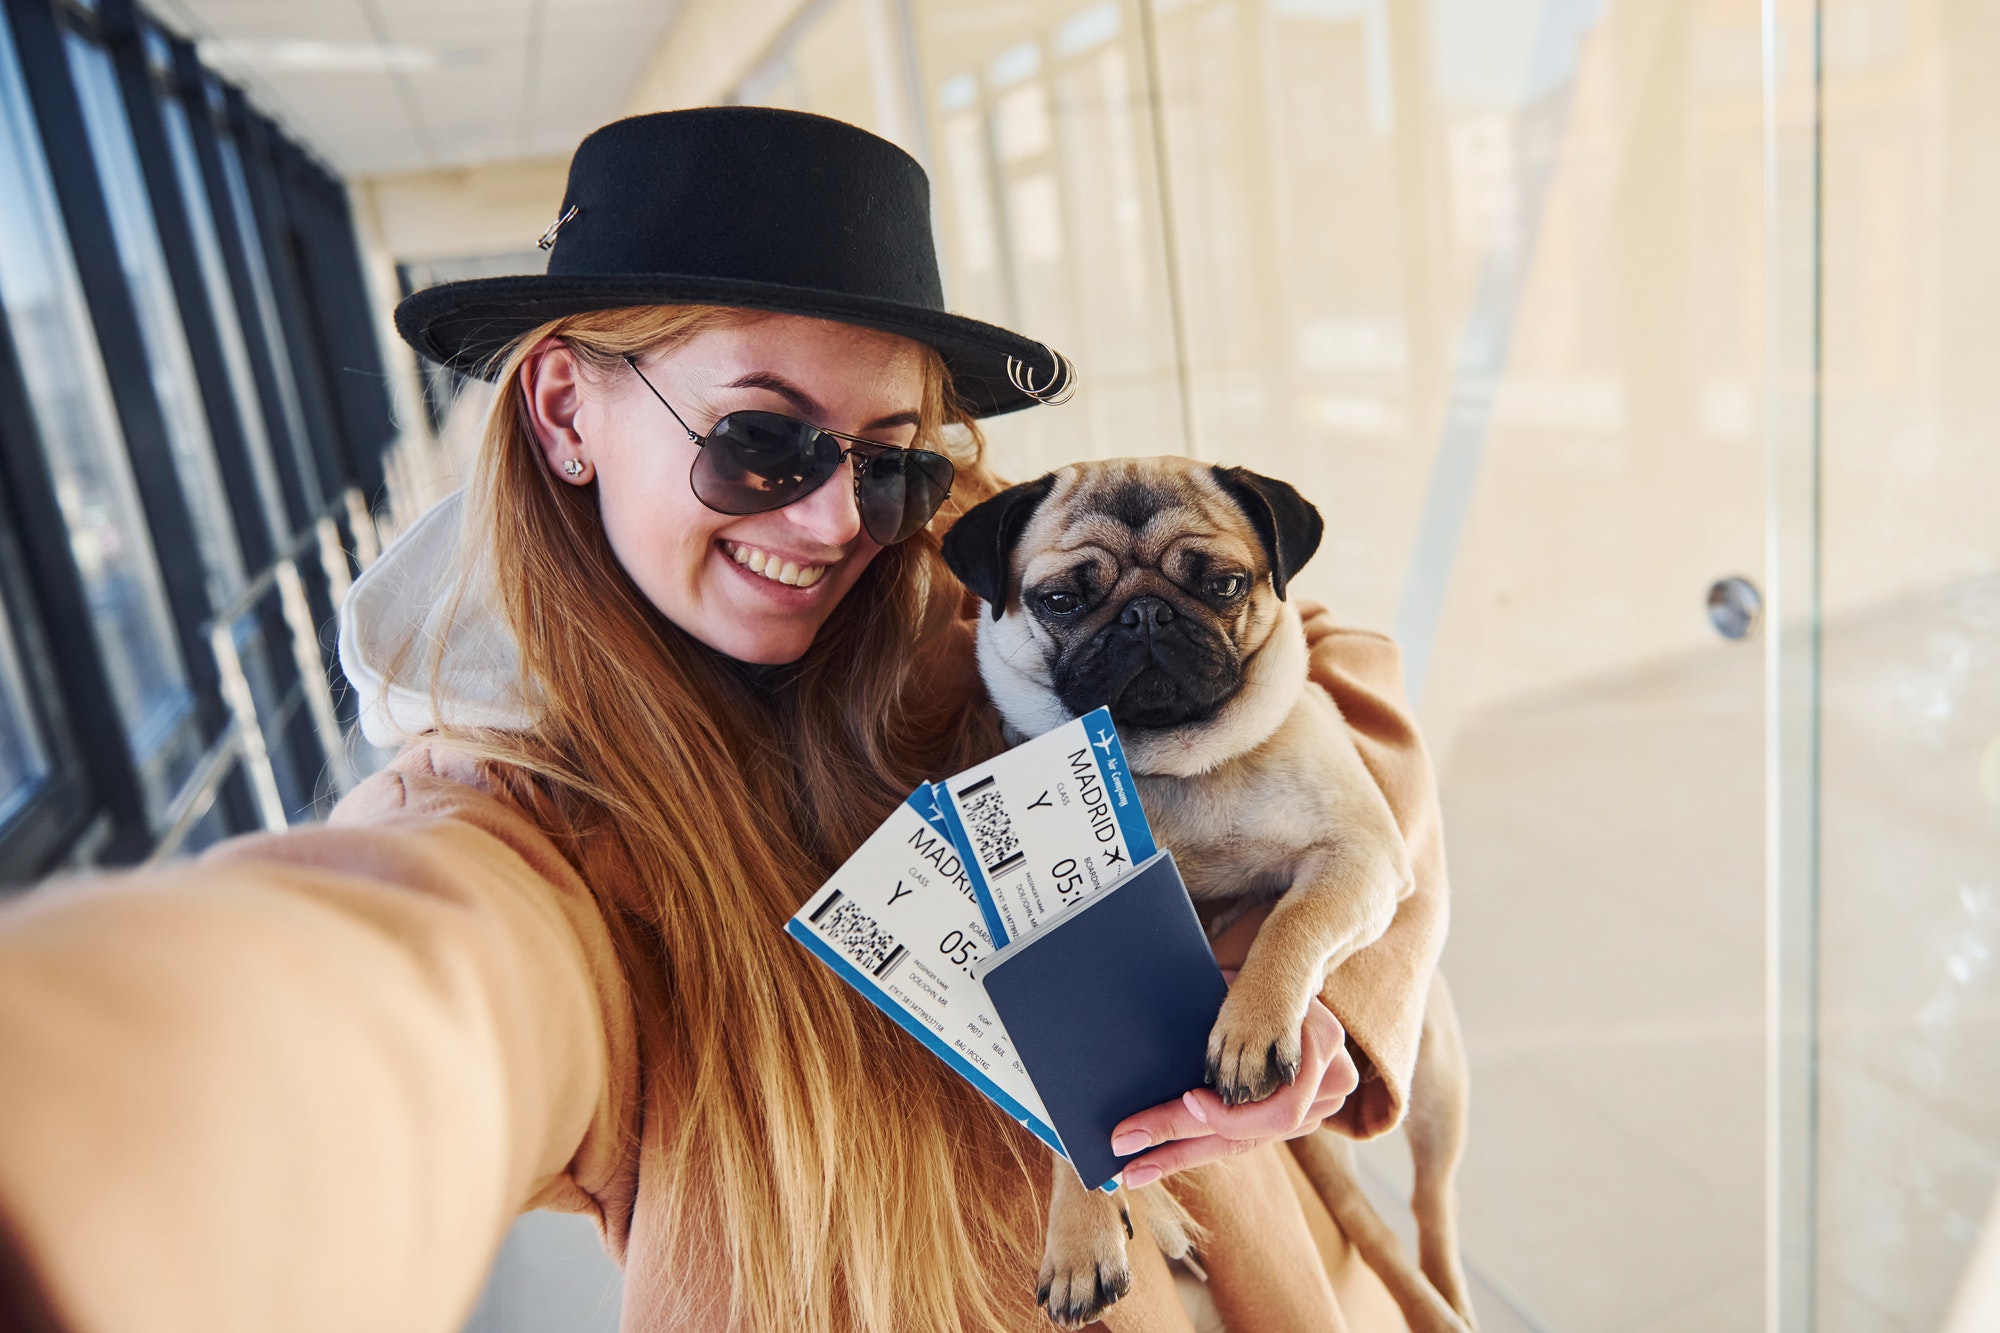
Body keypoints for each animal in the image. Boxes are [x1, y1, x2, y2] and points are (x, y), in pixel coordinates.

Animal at [944, 456, 1480, 1328]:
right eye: (1060, 599)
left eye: (1224, 583)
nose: (1146, 614)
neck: (1167, 766)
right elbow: (1064, 1108)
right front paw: (1081, 1232)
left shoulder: (1361, 854)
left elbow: (1291, 923)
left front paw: (1251, 1027)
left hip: (1434, 1069)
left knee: (1434, 1204)